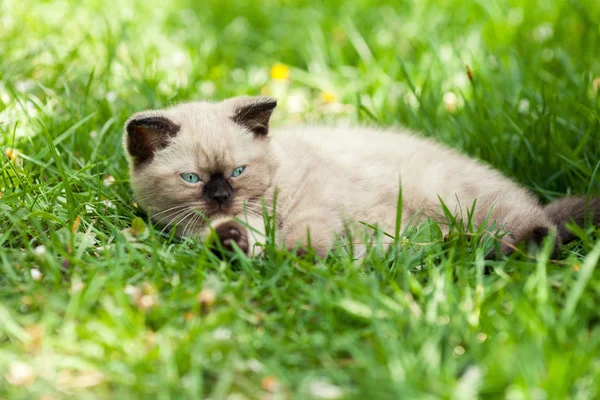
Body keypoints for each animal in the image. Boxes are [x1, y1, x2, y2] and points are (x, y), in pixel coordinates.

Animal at [123, 97, 600, 260]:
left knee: (543, 231)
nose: (221, 196)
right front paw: (232, 242)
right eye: (192, 178)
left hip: (461, 200)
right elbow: (229, 239)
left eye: (239, 171)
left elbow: (305, 236)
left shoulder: (316, 201)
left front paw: (297, 261)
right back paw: (454, 247)